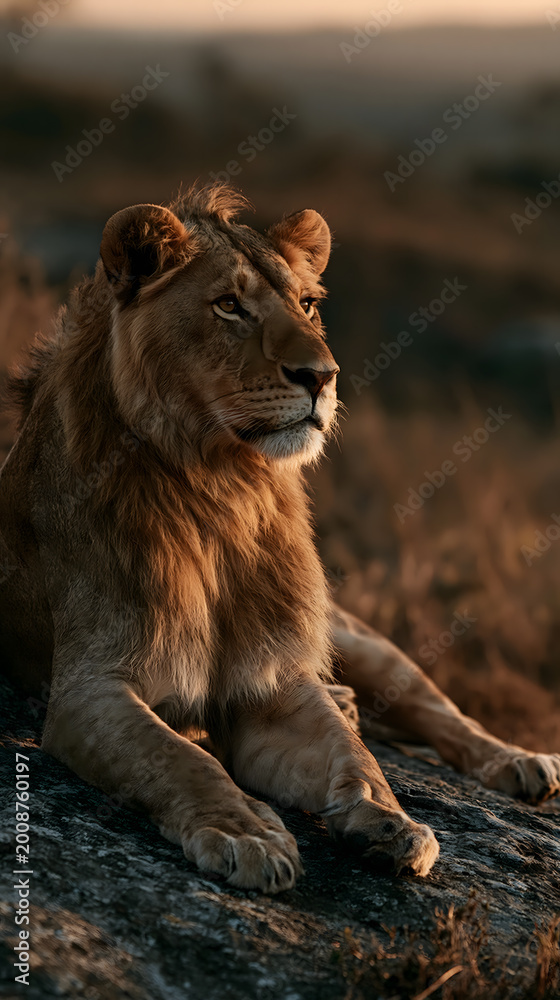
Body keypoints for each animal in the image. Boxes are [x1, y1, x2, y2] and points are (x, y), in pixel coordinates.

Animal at [0, 185, 557, 895]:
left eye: (308, 305)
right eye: (228, 305)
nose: (323, 376)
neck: (222, 491)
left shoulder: (271, 680)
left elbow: (358, 759)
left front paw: (391, 824)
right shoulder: (89, 688)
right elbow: (180, 758)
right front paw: (248, 835)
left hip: (357, 637)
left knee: (438, 711)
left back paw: (519, 762)